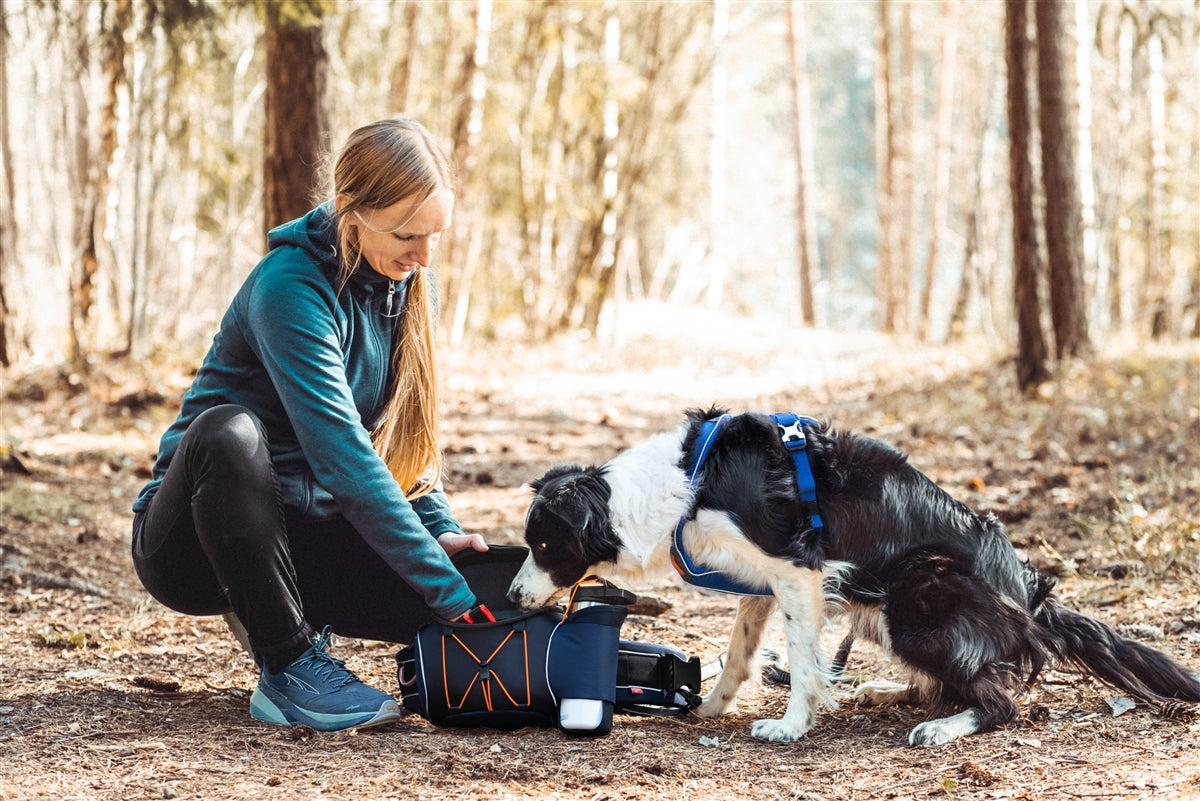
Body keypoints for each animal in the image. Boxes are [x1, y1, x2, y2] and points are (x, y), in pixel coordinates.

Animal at [506, 407, 1200, 743]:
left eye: (541, 544)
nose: (511, 594)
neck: (685, 485)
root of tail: (1029, 591)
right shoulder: (764, 581)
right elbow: (741, 653)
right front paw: (708, 706)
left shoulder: (798, 569)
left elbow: (802, 659)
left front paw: (790, 727)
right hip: (883, 612)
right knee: (952, 683)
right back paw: (883, 692)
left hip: (916, 596)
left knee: (999, 698)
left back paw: (941, 728)